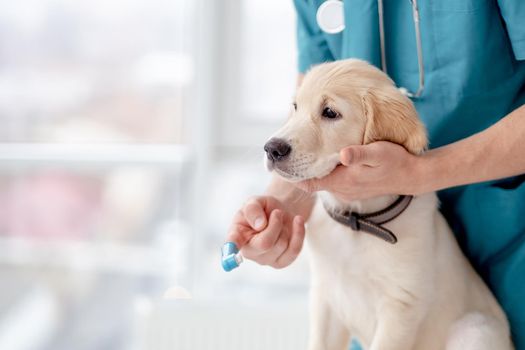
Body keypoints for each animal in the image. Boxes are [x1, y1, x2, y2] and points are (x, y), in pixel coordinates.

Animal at [264, 59, 510, 350]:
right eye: (295, 107)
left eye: (330, 113)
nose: (271, 148)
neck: (358, 220)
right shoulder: (326, 298)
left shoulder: (401, 307)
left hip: (475, 330)